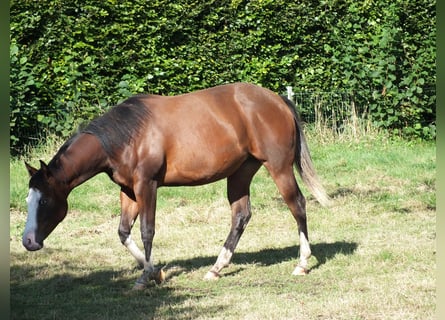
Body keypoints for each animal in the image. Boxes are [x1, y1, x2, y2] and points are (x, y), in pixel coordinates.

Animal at [24, 82, 330, 288]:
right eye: (28, 200)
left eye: (46, 200)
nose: (28, 241)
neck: (126, 135)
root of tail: (277, 99)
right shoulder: (128, 191)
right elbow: (123, 232)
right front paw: (154, 271)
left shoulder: (146, 185)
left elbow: (147, 231)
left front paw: (145, 277)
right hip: (240, 174)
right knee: (241, 216)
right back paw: (216, 268)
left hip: (279, 168)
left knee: (297, 205)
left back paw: (302, 263)